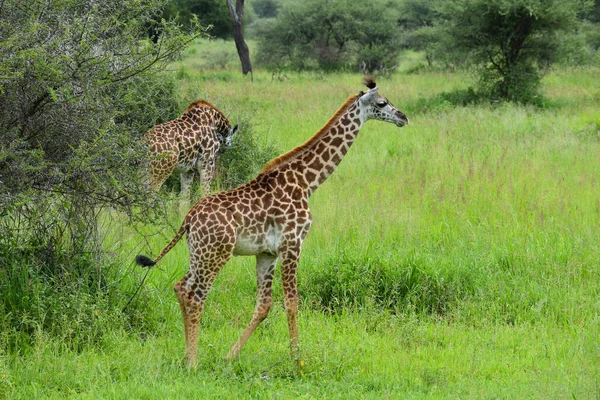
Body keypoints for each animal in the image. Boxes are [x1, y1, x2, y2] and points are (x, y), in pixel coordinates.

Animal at [135, 79, 408, 368]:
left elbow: (264, 305)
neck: (306, 182)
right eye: (382, 103)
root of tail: (188, 219)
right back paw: (193, 362)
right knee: (195, 296)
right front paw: (297, 361)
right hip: (216, 253)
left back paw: (187, 356)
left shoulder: (267, 253)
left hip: (199, 253)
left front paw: (230, 356)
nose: (403, 117)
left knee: (180, 286)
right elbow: (292, 301)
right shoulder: (293, 243)